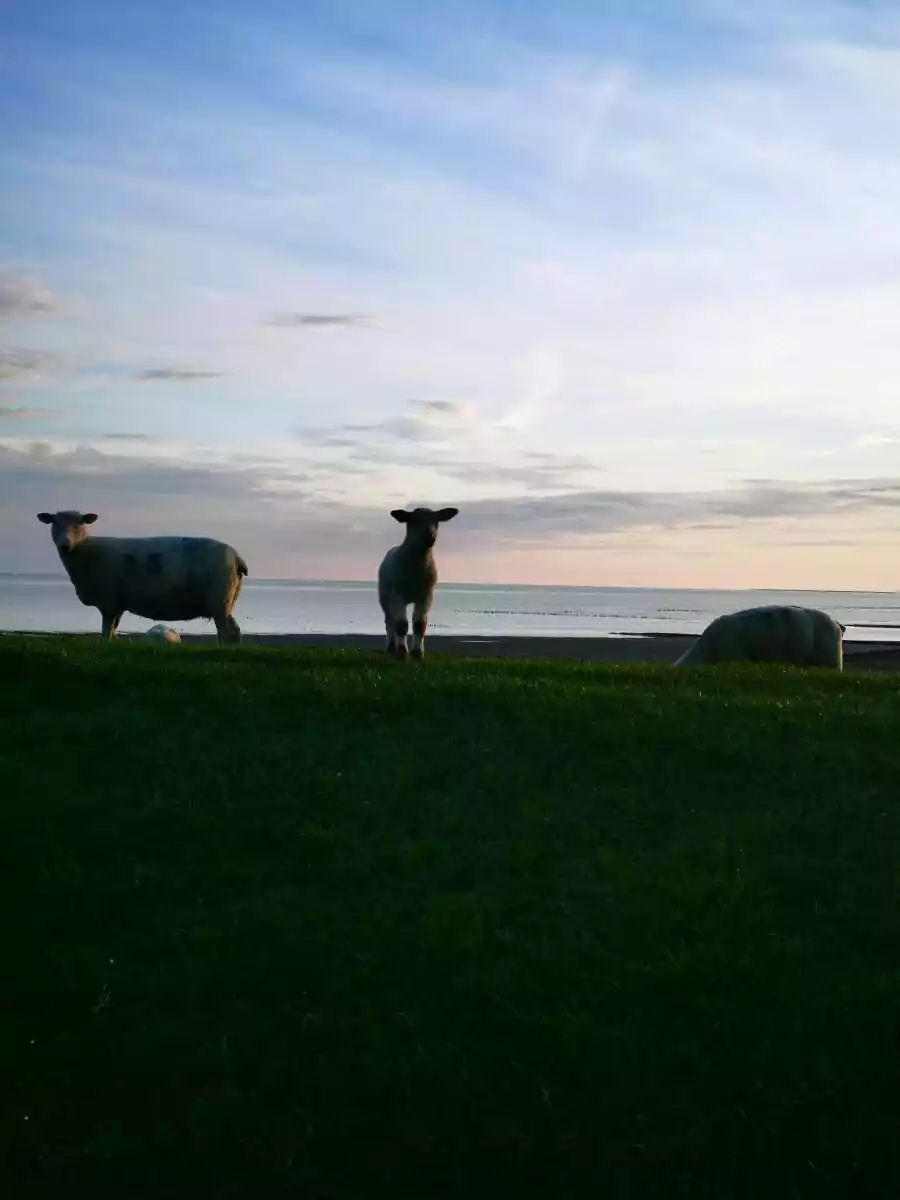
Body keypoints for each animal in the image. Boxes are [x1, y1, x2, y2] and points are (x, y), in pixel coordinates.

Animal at [37, 510, 248, 644]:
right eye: (54, 523)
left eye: (79, 523)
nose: (65, 545)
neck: (88, 550)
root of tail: (237, 556)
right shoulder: (118, 603)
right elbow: (113, 630)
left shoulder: (108, 601)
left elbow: (106, 632)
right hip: (228, 599)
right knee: (233, 630)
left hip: (219, 598)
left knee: (227, 631)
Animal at [377, 506, 459, 659]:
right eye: (413, 521)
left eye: (436, 521)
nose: (430, 537)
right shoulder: (398, 594)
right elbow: (401, 625)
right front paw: (402, 652)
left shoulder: (426, 596)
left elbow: (419, 624)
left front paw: (417, 653)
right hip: (384, 596)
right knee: (389, 621)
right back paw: (391, 647)